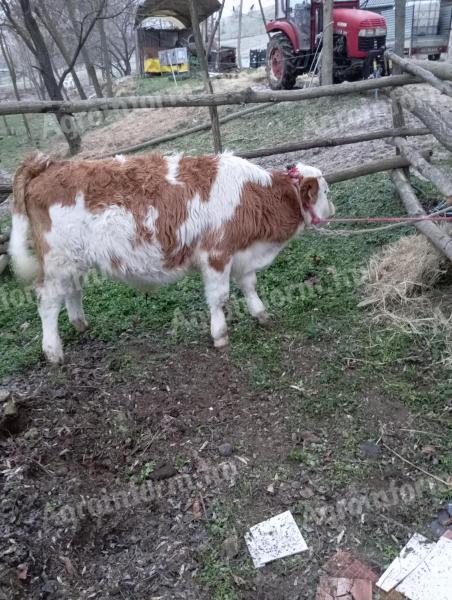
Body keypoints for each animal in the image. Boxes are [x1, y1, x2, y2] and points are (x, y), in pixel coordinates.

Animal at [8, 152, 334, 364]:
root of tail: (49, 165)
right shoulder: (216, 254)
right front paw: (220, 335)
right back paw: (53, 351)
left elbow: (249, 285)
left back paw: (80, 324)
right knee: (47, 301)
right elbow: (220, 298)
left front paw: (261, 314)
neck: (252, 196)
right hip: (56, 260)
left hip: (74, 260)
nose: (333, 209)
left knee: (72, 290)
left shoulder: (240, 253)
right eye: (325, 191)